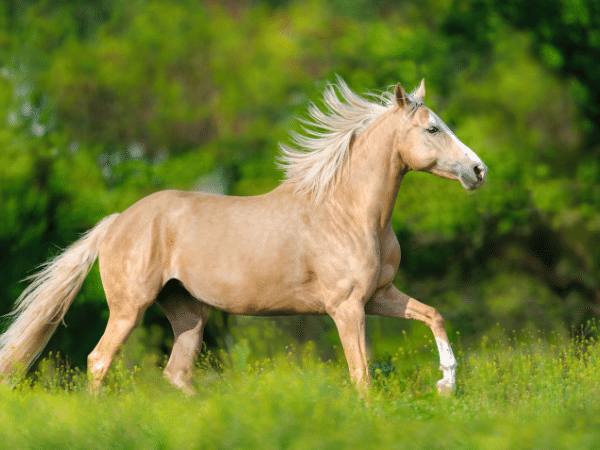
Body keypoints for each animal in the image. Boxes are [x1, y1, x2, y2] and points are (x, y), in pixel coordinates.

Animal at [0, 78, 486, 394]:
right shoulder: (347, 308)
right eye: (432, 128)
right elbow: (361, 375)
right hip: (130, 307)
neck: (349, 213)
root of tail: (118, 221)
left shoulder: (379, 296)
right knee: (100, 362)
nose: (478, 170)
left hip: (188, 312)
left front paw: (447, 383)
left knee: (177, 373)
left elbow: (434, 316)